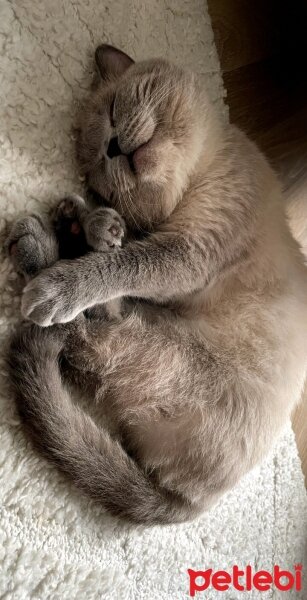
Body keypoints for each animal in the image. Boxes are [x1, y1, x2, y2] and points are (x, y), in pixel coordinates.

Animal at [6, 45, 307, 524]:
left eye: (114, 110)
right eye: (100, 164)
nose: (113, 146)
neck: (205, 168)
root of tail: (189, 503)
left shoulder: (186, 253)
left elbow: (116, 265)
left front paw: (78, 259)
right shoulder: (175, 246)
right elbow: (121, 251)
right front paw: (99, 225)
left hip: (156, 343)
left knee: (75, 333)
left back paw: (41, 254)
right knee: (89, 330)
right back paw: (63, 228)